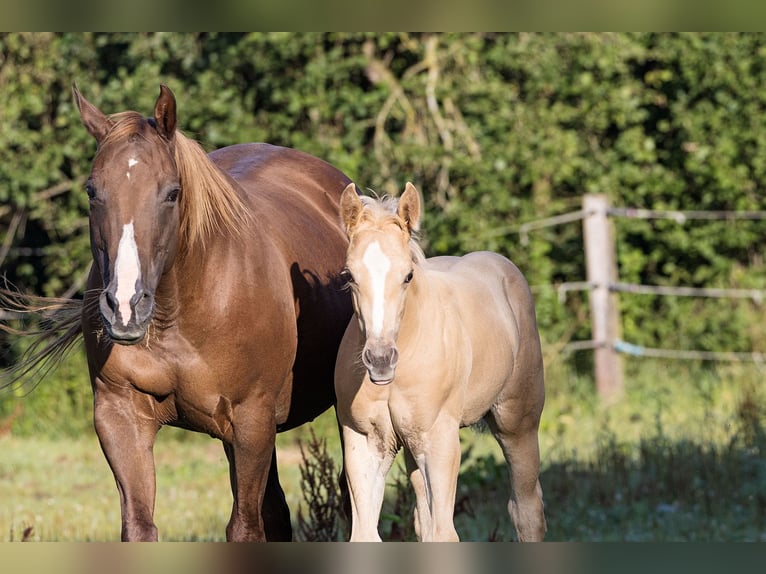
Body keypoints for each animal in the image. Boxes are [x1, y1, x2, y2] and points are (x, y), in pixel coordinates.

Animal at [0, 83, 354, 544]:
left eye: (171, 192)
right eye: (92, 191)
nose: (125, 307)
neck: (180, 315)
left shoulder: (252, 421)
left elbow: (244, 528)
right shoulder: (121, 416)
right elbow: (139, 526)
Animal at [336, 184, 544, 544]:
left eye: (408, 275)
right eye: (349, 275)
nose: (380, 360)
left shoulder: (440, 440)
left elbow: (445, 534)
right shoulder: (365, 443)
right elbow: (366, 534)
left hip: (518, 423)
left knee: (527, 509)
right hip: (412, 447)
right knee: (423, 518)